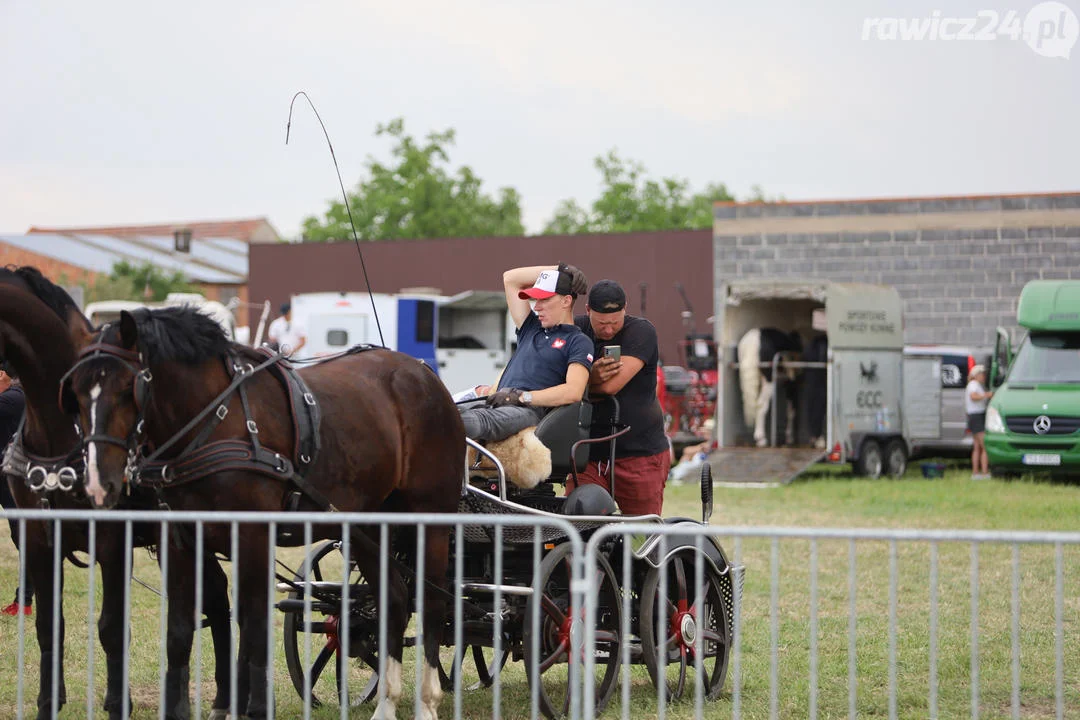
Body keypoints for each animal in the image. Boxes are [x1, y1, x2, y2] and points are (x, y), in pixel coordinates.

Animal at [0, 268, 234, 720]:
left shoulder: (112, 539)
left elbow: (111, 627)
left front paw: (116, 702)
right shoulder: (38, 537)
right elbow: (47, 626)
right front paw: (47, 703)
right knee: (216, 595)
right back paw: (222, 699)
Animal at [65, 306, 466, 720]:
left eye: (126, 389)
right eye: (74, 393)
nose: (99, 482)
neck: (213, 421)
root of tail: (423, 373)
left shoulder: (253, 535)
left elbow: (253, 623)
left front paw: (251, 707)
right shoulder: (180, 541)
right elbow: (179, 629)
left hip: (431, 517)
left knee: (432, 602)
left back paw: (427, 702)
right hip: (367, 525)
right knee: (395, 600)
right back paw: (386, 703)